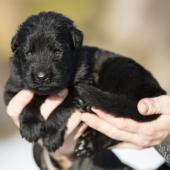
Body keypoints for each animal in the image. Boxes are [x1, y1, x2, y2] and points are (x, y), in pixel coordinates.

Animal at [3, 10, 166, 158]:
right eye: (28, 52)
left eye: (57, 51)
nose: (41, 77)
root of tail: (156, 90)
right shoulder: (12, 88)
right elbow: (30, 100)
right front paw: (31, 126)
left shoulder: (81, 86)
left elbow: (61, 108)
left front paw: (51, 135)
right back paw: (87, 144)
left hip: (119, 70)